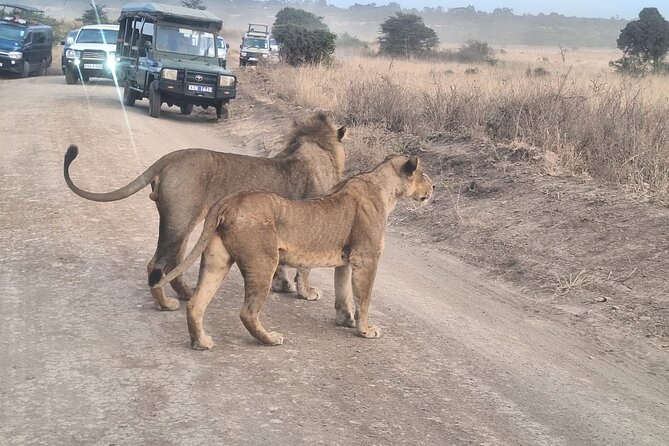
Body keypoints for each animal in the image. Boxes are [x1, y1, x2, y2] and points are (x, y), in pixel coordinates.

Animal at [63, 113, 348, 312]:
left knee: (174, 262)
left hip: (182, 220)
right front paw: (306, 292)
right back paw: (166, 304)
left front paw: (282, 286)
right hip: (180, 221)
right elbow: (305, 267)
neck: (314, 147)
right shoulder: (312, 223)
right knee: (156, 264)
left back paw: (186, 293)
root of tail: (168, 159)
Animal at [149, 155, 436, 350]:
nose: (434, 188)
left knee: (196, 303)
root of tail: (230, 201)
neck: (384, 188)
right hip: (263, 261)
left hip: (216, 261)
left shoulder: (347, 260)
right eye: (423, 174)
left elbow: (343, 292)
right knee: (247, 312)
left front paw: (346, 320)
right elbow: (363, 298)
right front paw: (365, 330)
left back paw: (201, 342)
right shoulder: (366, 258)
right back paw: (269, 339)